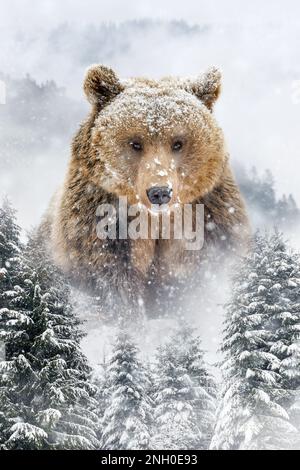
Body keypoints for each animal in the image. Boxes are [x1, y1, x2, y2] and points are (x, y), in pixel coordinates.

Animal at [41, 65, 250, 320]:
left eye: (178, 143)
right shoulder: (100, 226)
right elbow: (111, 280)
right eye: (135, 143)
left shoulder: (209, 220)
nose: (159, 192)